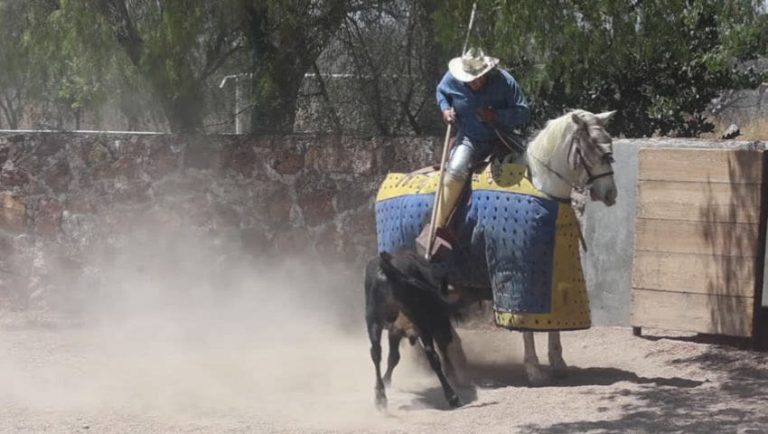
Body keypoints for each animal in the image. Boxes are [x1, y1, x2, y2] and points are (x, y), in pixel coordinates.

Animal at [373, 109, 618, 387]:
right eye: (597, 149)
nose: (610, 194)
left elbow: (554, 321)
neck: (541, 186)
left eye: (609, 146)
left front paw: (558, 362)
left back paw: (457, 362)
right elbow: (525, 327)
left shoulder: (554, 273)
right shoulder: (518, 274)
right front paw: (534, 370)